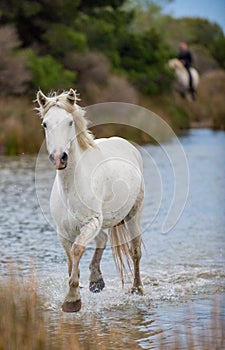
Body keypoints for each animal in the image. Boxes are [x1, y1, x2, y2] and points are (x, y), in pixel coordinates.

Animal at [36, 89, 143, 312]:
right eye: (45, 124)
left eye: (69, 122)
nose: (59, 158)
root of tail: (126, 143)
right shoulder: (63, 231)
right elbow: (70, 260)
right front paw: (76, 291)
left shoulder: (91, 222)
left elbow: (77, 250)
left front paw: (72, 300)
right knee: (102, 239)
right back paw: (96, 280)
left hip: (132, 215)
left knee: (135, 251)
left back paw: (137, 290)